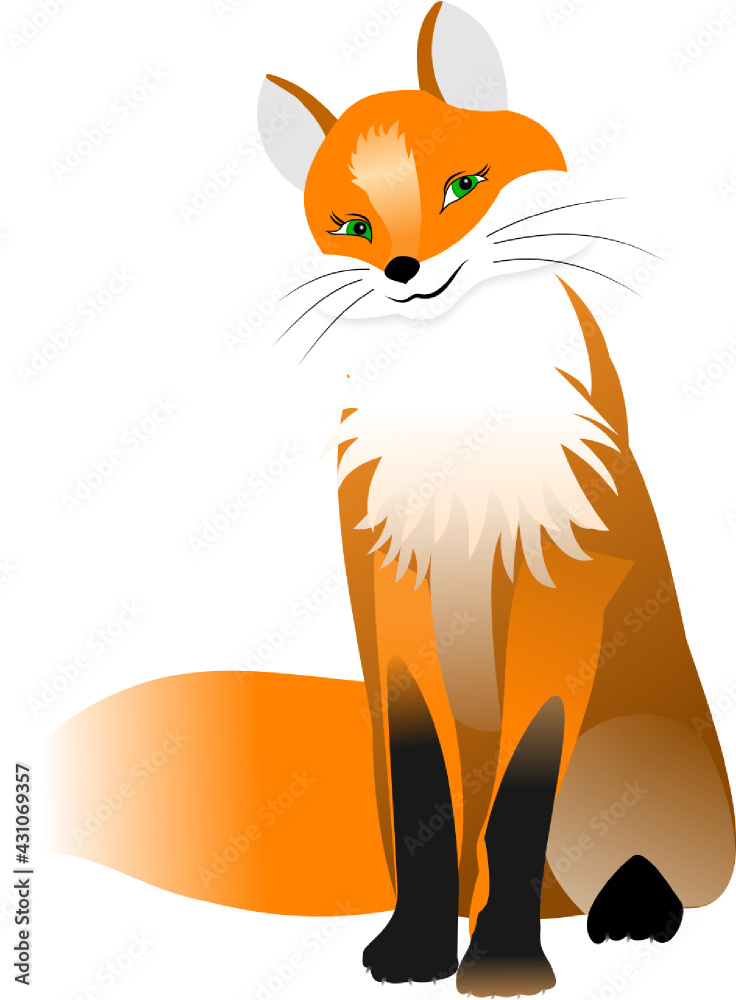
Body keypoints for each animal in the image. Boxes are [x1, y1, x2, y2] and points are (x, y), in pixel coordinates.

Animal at [255, 2, 735, 995]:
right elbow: (425, 805)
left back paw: (627, 908)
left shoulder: (556, 593)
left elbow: (521, 799)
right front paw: (416, 949)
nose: (403, 266)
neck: (463, 425)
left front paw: (504, 964)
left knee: (638, 872)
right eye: (353, 224)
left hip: (624, 763)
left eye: (461, 185)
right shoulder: (396, 597)